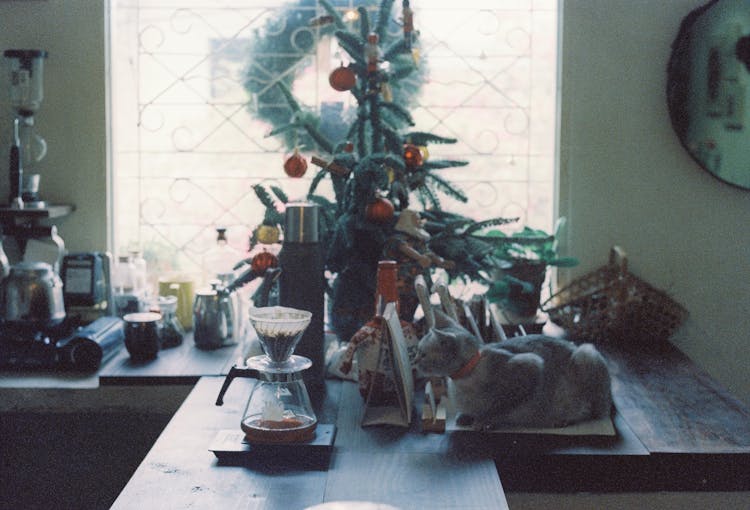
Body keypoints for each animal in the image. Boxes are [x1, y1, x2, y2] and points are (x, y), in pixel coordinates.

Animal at [414, 308, 612, 428]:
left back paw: (565, 419)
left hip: (586, 353)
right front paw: (466, 416)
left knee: (596, 412)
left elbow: (499, 408)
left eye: (422, 354)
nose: (414, 361)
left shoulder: (532, 366)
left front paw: (483, 420)